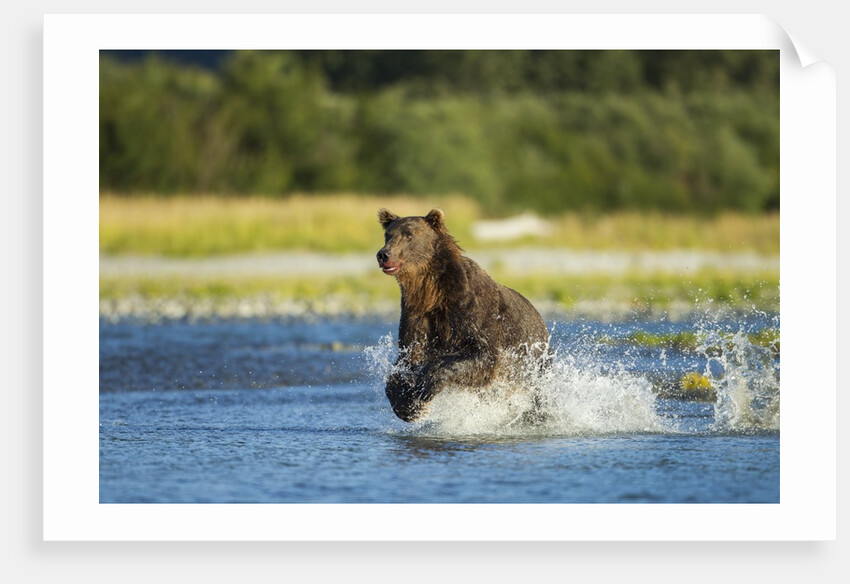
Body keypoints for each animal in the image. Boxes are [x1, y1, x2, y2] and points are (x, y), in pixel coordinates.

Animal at [376, 208, 550, 422]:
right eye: (388, 235)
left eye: (408, 234)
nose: (384, 254)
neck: (432, 293)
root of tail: (540, 318)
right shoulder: (417, 316)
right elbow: (406, 360)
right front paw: (408, 404)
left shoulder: (471, 310)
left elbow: (482, 354)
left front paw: (425, 385)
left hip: (533, 359)